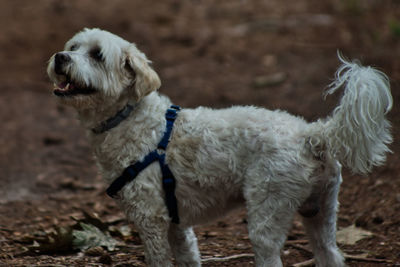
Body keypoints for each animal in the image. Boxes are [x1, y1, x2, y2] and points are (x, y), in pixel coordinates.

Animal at [46, 28, 390, 266]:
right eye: (73, 47)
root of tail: (312, 134)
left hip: (268, 210)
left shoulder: (151, 218)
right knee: (329, 253)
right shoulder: (177, 223)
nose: (60, 57)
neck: (130, 118)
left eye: (97, 55)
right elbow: (187, 257)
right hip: (322, 212)